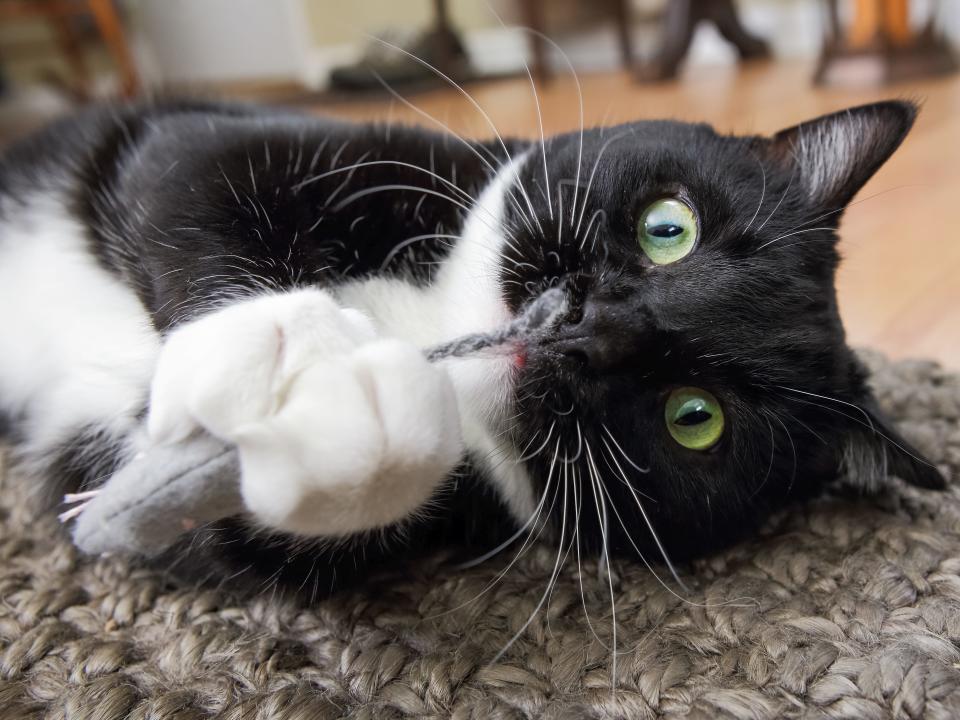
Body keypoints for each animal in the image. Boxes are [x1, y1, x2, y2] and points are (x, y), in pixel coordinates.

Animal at [0, 98, 944, 600]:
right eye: (669, 228)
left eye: (696, 419)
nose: (587, 327)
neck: (428, 319)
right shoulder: (248, 141)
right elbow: (196, 173)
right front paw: (270, 350)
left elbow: (232, 536)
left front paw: (355, 420)